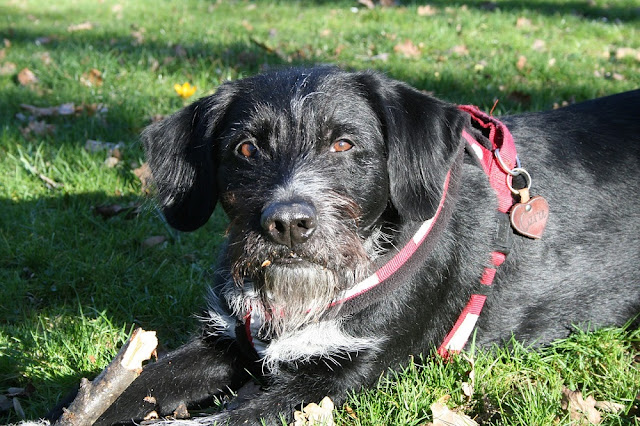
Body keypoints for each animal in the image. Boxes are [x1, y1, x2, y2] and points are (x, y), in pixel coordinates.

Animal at [77, 65, 636, 424]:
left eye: (344, 144)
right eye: (246, 148)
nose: (287, 223)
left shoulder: (344, 373)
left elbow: (225, 419)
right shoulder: (228, 339)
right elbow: (139, 383)